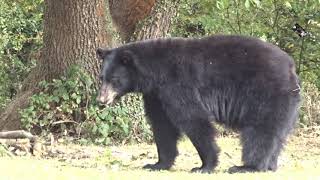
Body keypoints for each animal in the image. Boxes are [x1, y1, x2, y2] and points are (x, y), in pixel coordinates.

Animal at [95, 34, 300, 173]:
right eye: (101, 78)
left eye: (114, 79)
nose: (101, 100)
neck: (155, 73)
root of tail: (291, 67)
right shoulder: (156, 95)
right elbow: (162, 126)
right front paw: (157, 164)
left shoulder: (178, 84)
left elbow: (193, 118)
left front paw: (204, 166)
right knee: (277, 134)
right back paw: (270, 165)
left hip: (265, 93)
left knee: (259, 131)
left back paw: (247, 167)